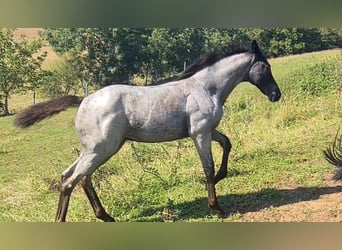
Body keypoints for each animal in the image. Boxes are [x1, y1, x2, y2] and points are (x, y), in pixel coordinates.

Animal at [14, 40, 280, 222]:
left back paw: (106, 216)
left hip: (96, 149)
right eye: (266, 67)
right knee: (71, 181)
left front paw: (220, 177)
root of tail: (84, 100)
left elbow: (227, 143)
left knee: (75, 177)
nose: (276, 95)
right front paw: (217, 208)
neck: (205, 88)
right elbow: (208, 166)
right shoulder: (200, 133)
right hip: (101, 149)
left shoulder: (207, 131)